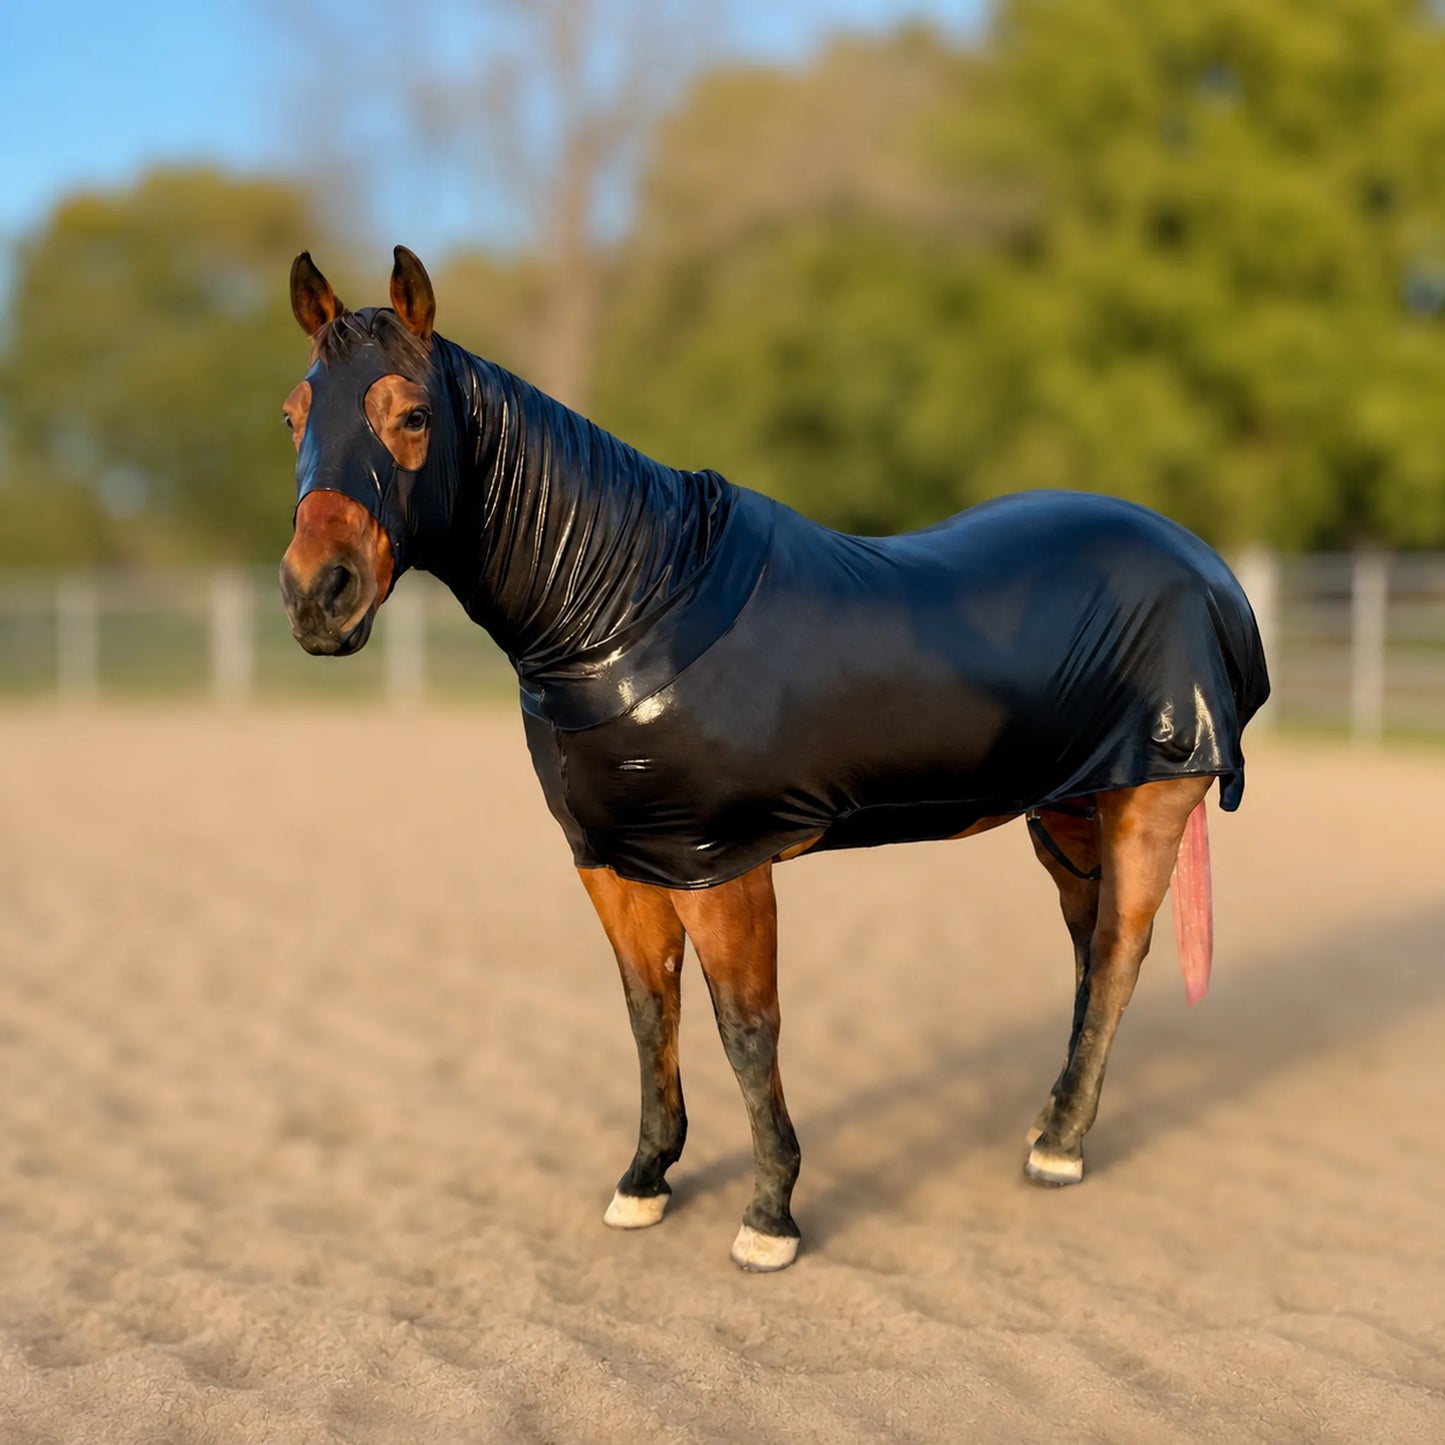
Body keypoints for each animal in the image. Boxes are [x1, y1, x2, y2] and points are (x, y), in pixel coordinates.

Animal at [278, 246, 1270, 1272]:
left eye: (413, 415)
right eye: (294, 414)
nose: (318, 596)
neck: (630, 610)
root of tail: (1204, 565)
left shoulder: (722, 867)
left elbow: (745, 1031)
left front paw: (768, 1215)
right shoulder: (612, 864)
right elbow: (650, 1012)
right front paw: (645, 1179)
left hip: (1151, 796)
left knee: (1115, 953)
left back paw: (1061, 1147)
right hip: (1070, 807)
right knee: (1084, 946)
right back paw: (1047, 1121)